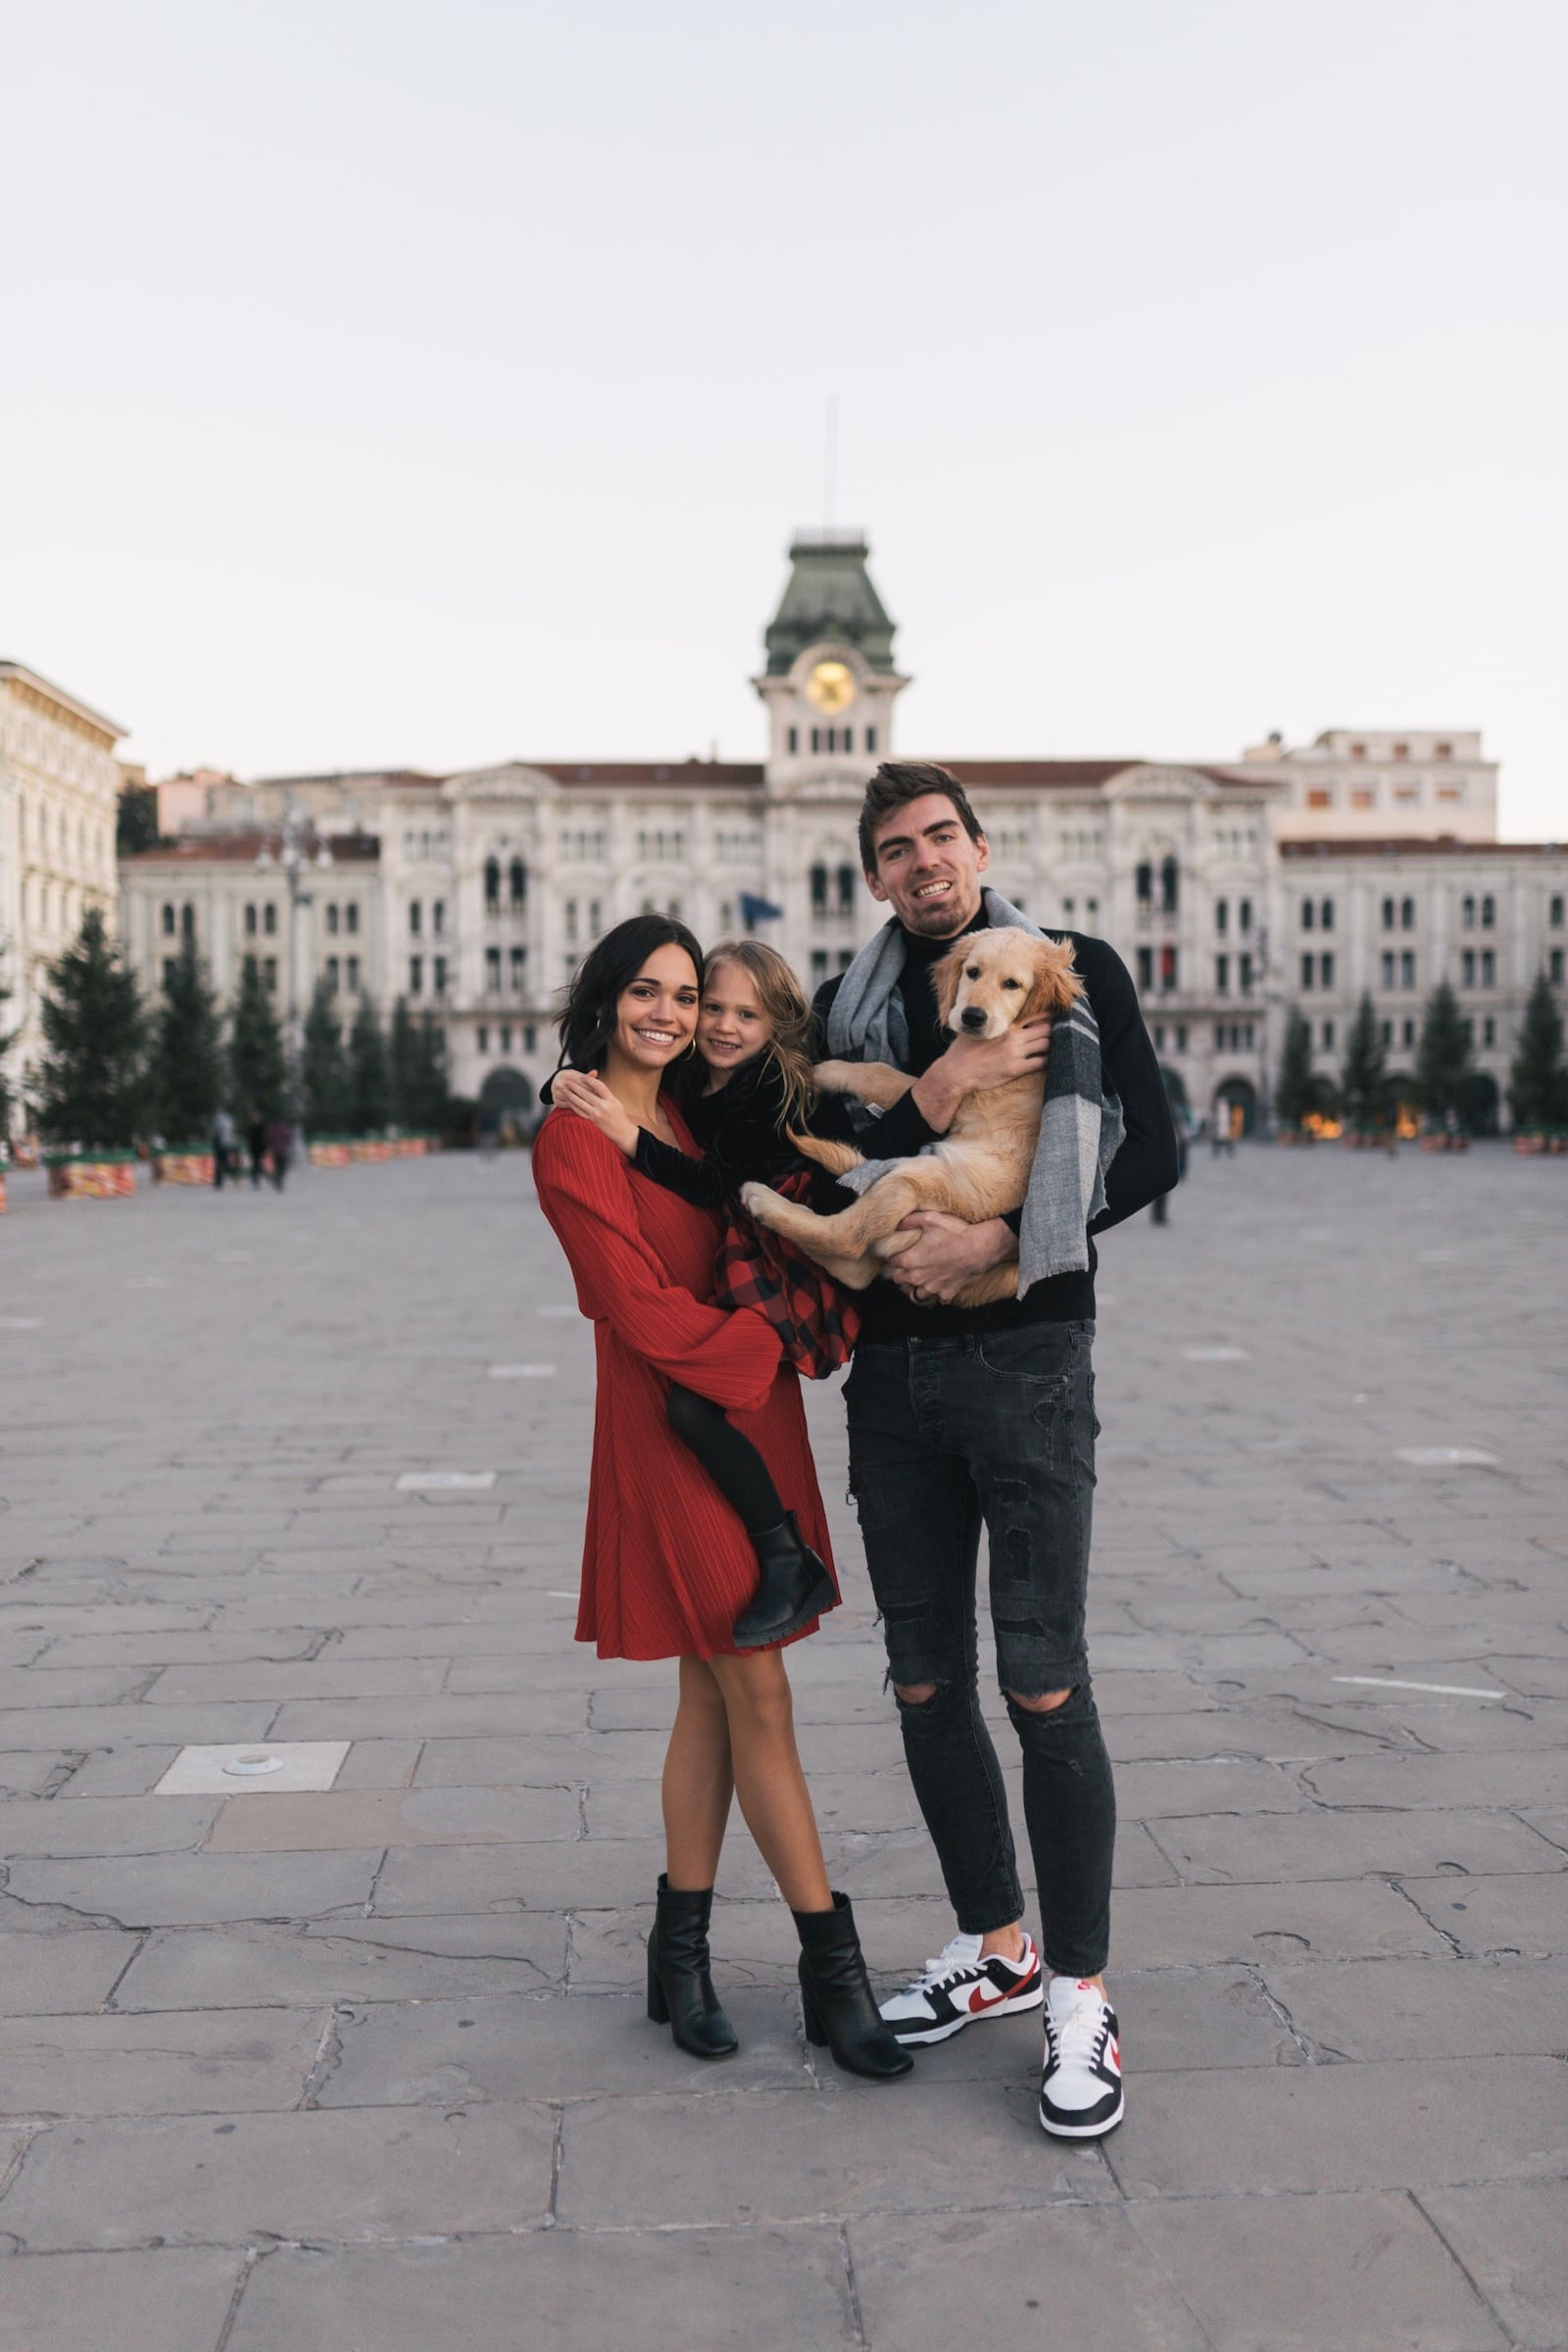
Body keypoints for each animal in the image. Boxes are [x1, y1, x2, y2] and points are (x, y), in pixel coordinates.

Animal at [743, 926, 1086, 1317]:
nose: (972, 1016)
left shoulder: (956, 1094)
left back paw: (762, 1200)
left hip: (913, 1180)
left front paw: (823, 1072)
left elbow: (879, 1074)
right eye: (972, 972)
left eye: (1012, 984)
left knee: (846, 1238)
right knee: (857, 1270)